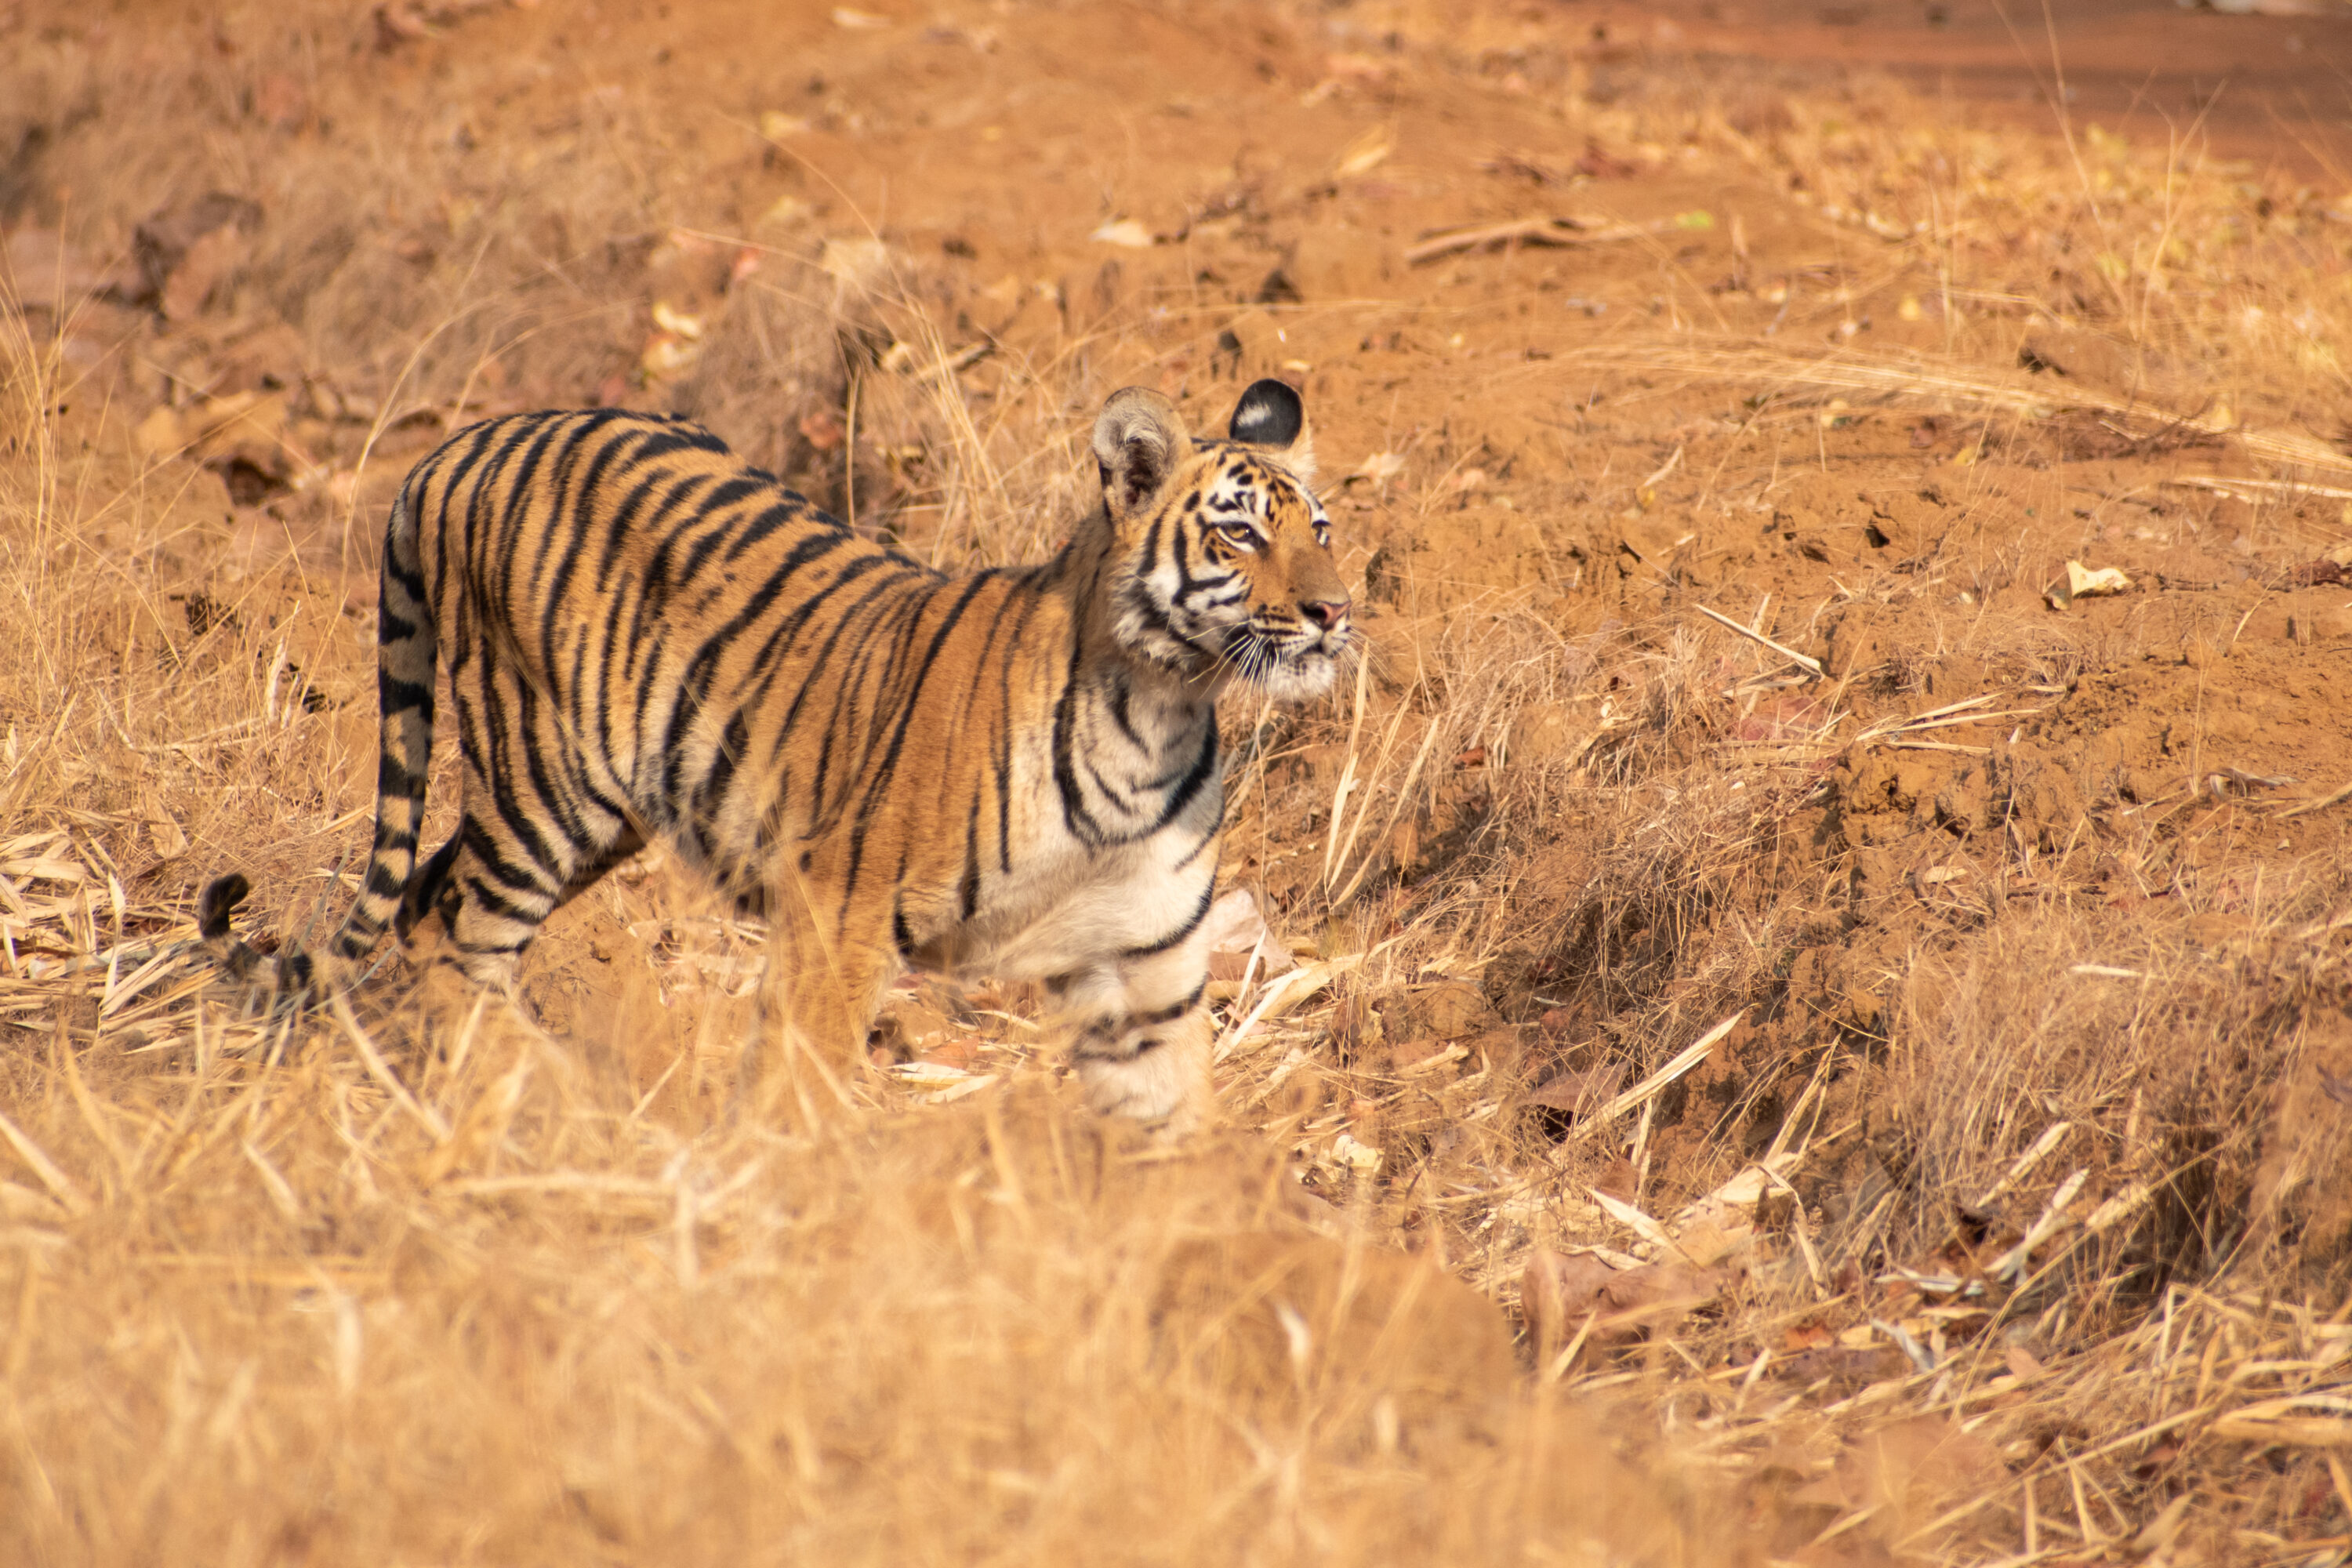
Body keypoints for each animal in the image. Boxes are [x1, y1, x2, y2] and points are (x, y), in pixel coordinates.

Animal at [198, 377, 1352, 1126]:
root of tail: (464, 443)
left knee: (429, 897)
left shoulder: (1150, 956)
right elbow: (803, 1078)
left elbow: (1169, 1121)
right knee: (456, 928)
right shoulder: (840, 909)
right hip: (547, 779)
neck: (1162, 707)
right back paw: (535, 1099)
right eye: (1240, 533)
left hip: (598, 811)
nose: (1337, 611)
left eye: (1322, 530)